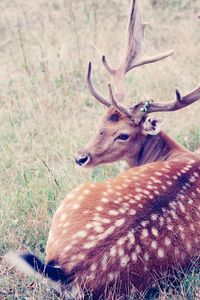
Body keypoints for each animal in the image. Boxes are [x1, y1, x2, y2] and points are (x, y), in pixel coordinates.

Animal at [4, 0, 200, 300]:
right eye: (102, 120)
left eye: (124, 135)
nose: (80, 157)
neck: (177, 152)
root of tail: (71, 272)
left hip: (72, 197)